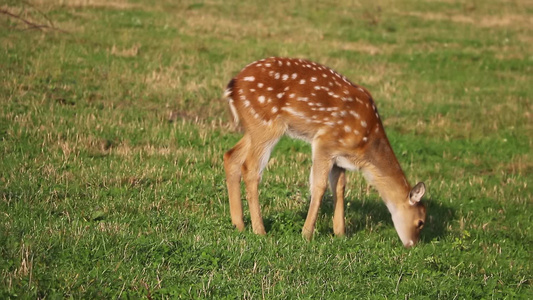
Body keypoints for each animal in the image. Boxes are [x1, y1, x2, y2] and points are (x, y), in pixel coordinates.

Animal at [222, 57, 426, 247]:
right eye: (421, 222)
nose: (413, 245)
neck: (365, 145)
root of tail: (233, 85)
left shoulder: (340, 157)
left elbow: (340, 187)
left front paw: (340, 233)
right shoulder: (325, 142)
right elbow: (319, 186)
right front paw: (306, 234)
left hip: (254, 128)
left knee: (231, 156)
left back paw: (238, 224)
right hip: (266, 125)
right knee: (250, 168)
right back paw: (260, 230)